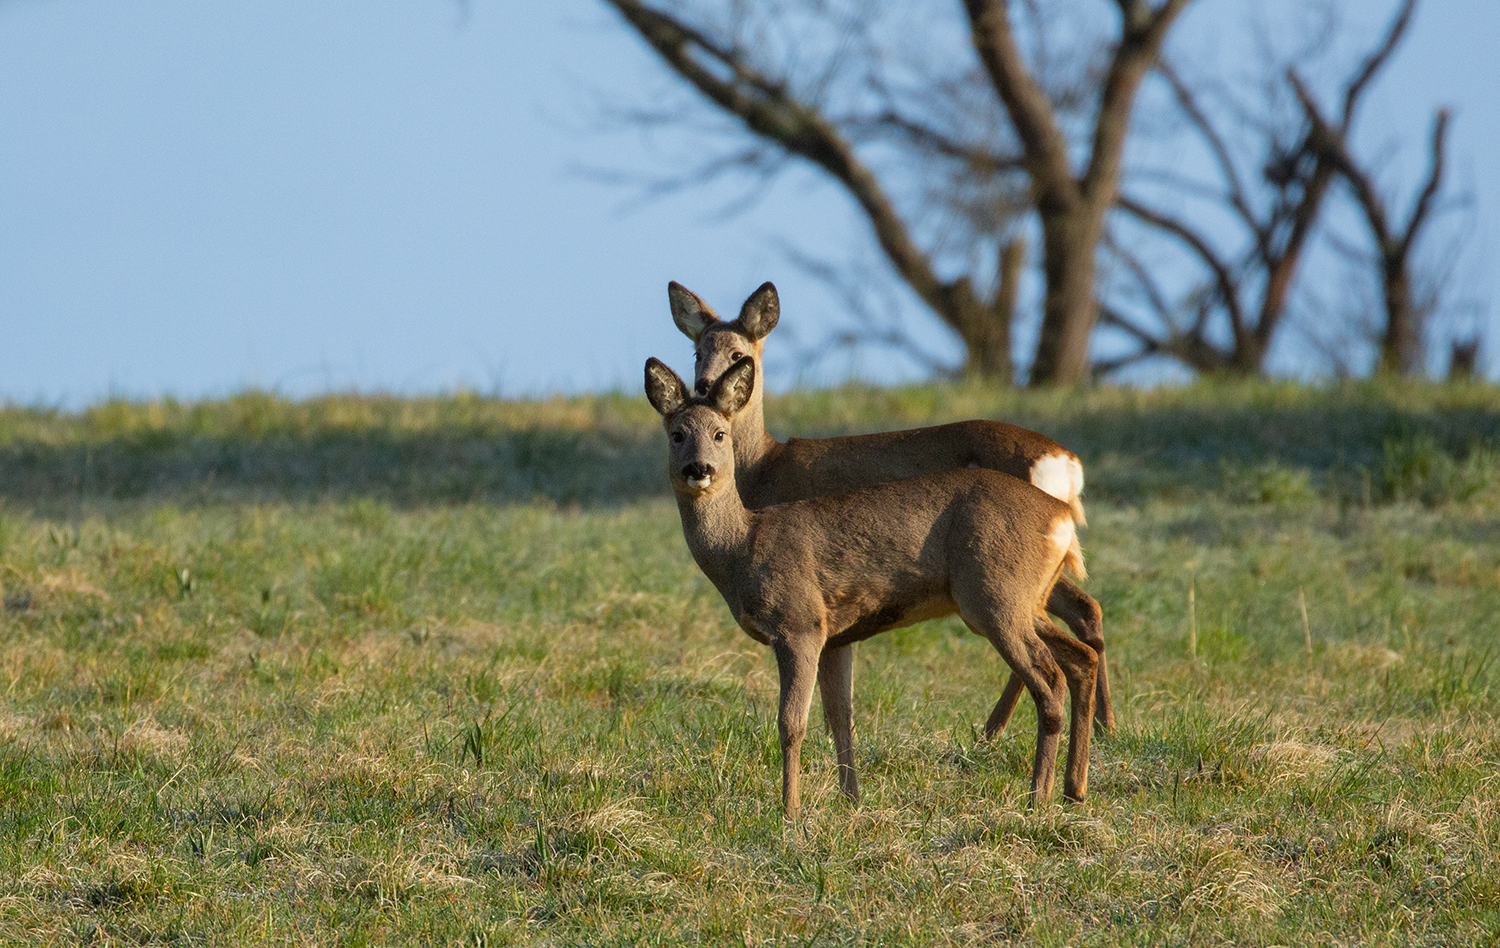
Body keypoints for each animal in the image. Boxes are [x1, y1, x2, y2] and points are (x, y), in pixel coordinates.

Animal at [639, 355, 1098, 816]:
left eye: (720, 434)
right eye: (677, 434)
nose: (699, 469)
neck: (743, 547)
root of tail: (1061, 517)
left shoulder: (799, 622)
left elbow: (792, 722)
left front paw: (790, 811)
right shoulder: (835, 635)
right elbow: (841, 717)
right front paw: (851, 800)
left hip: (995, 596)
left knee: (1051, 679)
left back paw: (1038, 797)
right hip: (1024, 600)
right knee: (1081, 657)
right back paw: (1073, 790)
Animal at [672, 277, 1116, 738]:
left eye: (737, 353)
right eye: (697, 352)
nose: (704, 386)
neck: (762, 468)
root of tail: (1067, 463)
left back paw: (998, 729)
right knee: (1085, 611)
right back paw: (1094, 725)